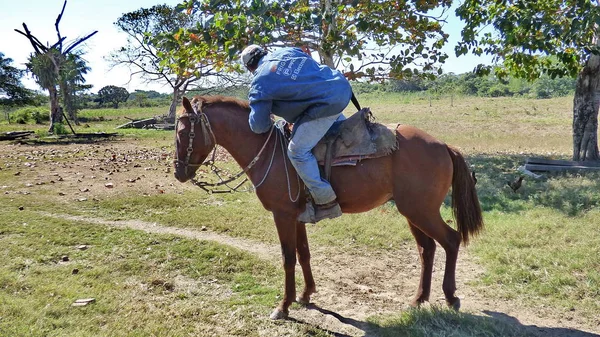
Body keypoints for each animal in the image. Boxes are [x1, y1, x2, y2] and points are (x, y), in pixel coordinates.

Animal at [172, 94, 482, 318]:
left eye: (183, 132)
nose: (178, 172)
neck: (270, 151)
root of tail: (444, 145)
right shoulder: (297, 216)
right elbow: (304, 254)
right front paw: (306, 294)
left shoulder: (283, 215)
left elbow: (287, 258)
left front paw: (283, 306)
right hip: (412, 212)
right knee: (426, 249)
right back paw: (418, 299)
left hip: (422, 211)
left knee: (451, 240)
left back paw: (451, 297)